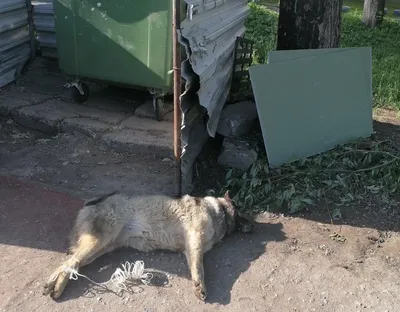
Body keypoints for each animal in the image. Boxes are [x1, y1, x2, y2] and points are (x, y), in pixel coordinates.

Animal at [43, 190, 253, 300]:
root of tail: (96, 200)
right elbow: (199, 268)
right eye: (237, 209)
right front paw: (199, 285)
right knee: (68, 263)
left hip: (101, 248)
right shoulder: (195, 242)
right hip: (98, 242)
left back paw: (55, 285)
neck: (217, 212)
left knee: (73, 264)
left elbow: (195, 264)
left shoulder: (190, 248)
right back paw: (54, 286)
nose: (250, 225)